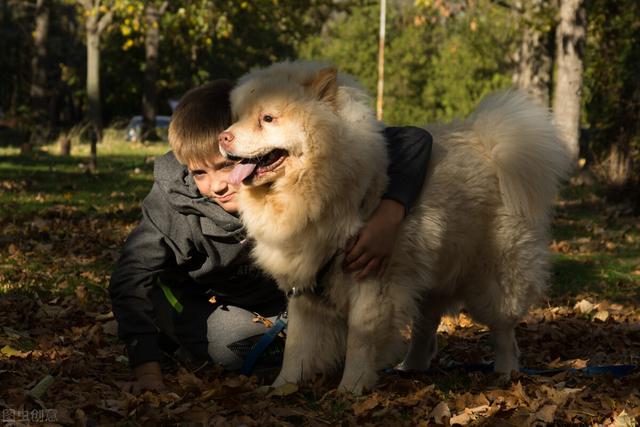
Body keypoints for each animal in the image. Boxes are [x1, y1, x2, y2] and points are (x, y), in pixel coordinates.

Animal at [218, 60, 572, 394]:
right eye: (238, 117)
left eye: (267, 118)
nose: (223, 137)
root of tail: (490, 144)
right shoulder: (304, 285)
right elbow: (297, 346)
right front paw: (283, 386)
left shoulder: (373, 285)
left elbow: (359, 341)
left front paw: (351, 388)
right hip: (430, 273)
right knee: (426, 324)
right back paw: (412, 366)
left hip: (494, 277)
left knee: (504, 330)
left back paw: (506, 371)